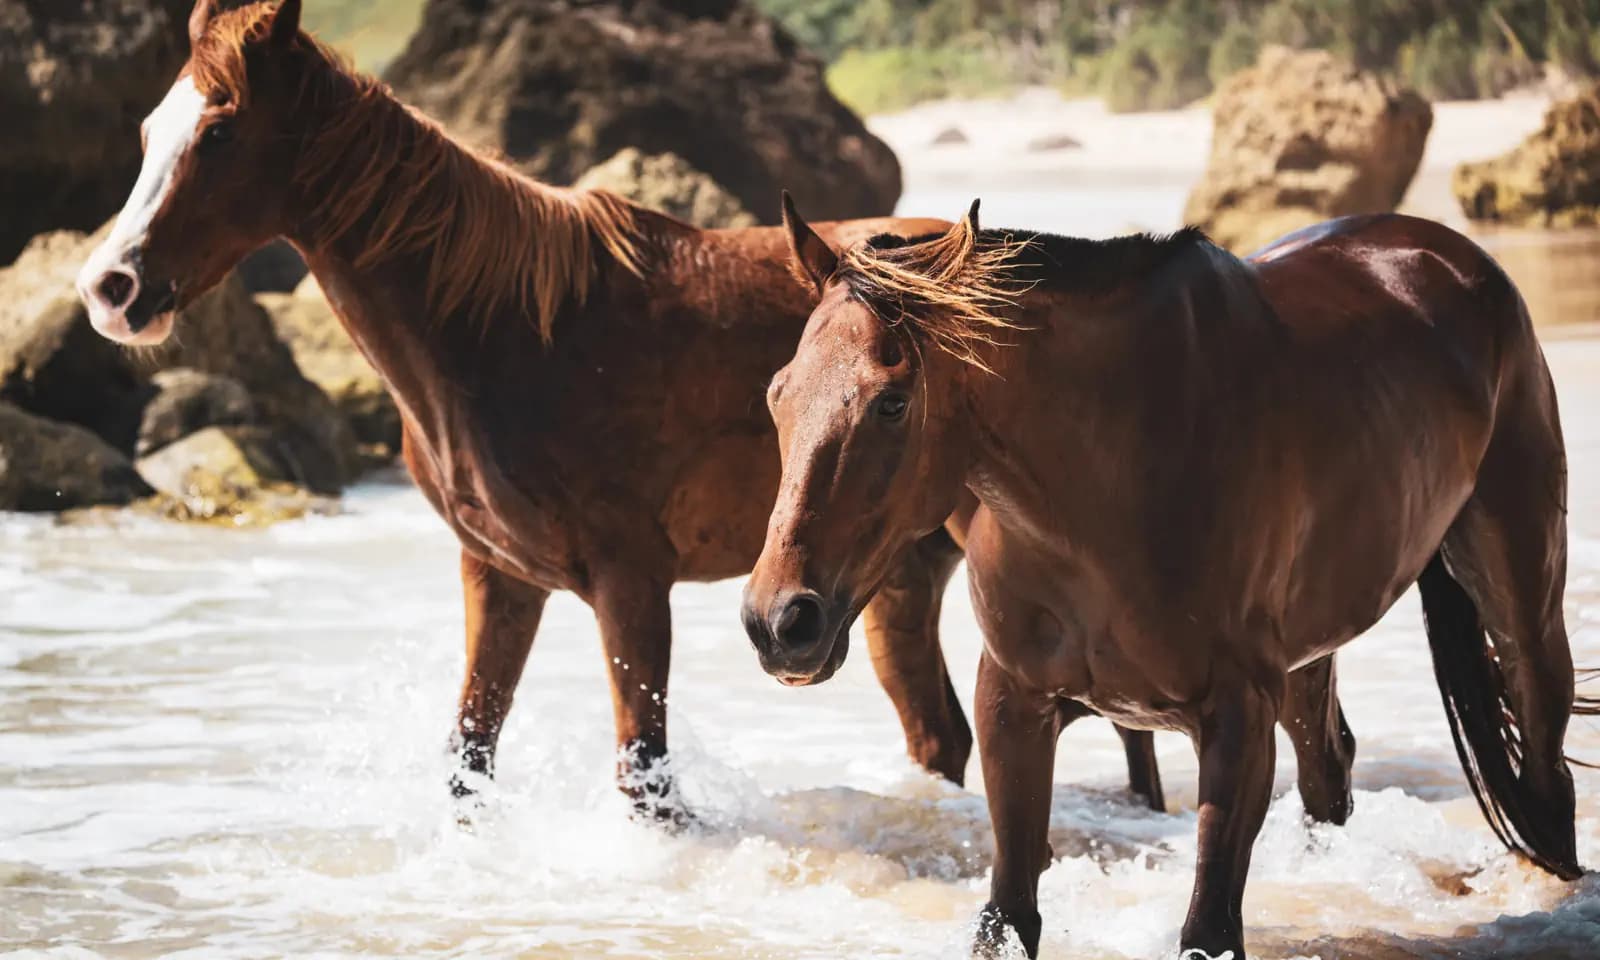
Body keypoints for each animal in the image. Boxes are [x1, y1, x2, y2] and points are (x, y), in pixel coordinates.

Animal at [73, 0, 1171, 819]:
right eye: (146, 132)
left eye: (219, 134)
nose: (110, 289)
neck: (507, 333)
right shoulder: (501, 578)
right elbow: (469, 757)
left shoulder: (631, 582)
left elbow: (645, 781)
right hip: (895, 581)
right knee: (948, 738)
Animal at [743, 199, 1586, 958]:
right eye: (777, 392)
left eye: (892, 402)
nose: (779, 622)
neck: (1116, 476)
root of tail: (1448, 253)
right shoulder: (1013, 705)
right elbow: (1007, 919)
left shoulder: (1237, 717)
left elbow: (1207, 931)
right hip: (1309, 659)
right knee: (1330, 770)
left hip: (1521, 601)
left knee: (1547, 775)